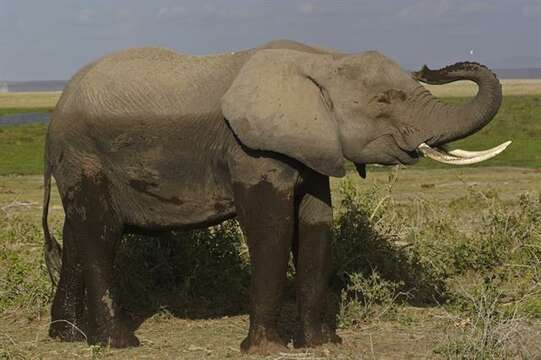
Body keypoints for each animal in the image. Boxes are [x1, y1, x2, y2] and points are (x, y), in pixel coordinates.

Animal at [41, 39, 506, 354]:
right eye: (383, 100)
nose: (431, 67)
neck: (322, 60)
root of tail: (54, 114)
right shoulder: (250, 150)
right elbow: (272, 227)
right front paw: (269, 349)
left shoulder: (311, 145)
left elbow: (316, 224)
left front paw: (322, 345)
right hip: (84, 154)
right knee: (101, 235)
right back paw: (118, 342)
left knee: (78, 234)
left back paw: (69, 336)